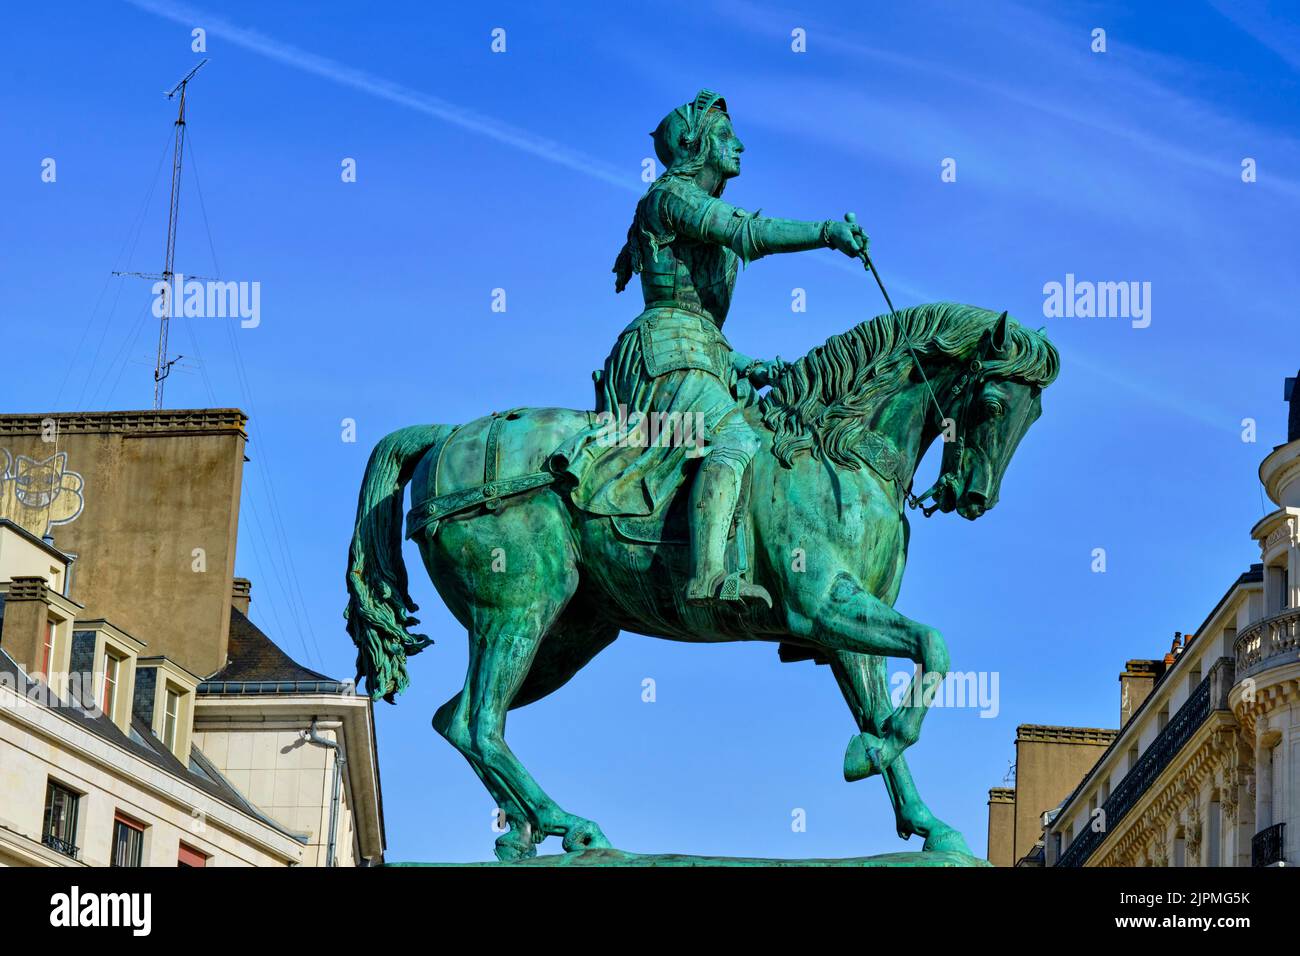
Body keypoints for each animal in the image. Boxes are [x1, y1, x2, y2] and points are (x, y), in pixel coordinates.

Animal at [343, 303, 1055, 863]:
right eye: (994, 403)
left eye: (1033, 415)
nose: (973, 497)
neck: (838, 452)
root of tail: (447, 437)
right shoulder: (823, 607)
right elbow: (933, 648)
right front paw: (868, 755)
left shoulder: (846, 630)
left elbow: (886, 702)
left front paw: (925, 820)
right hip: (521, 610)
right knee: (480, 721)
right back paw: (568, 825)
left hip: (563, 637)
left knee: (457, 719)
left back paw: (524, 832)